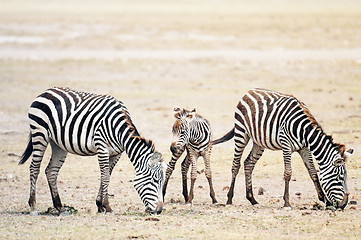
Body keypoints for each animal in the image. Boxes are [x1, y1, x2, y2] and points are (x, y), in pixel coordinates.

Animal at [19, 86, 165, 216]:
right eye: (155, 180)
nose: (159, 211)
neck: (119, 130)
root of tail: (46, 91)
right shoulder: (102, 147)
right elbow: (105, 176)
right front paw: (107, 207)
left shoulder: (117, 153)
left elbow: (107, 175)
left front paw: (100, 205)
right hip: (40, 133)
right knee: (34, 168)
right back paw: (33, 207)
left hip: (58, 144)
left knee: (51, 171)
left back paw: (60, 208)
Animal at [212, 89, 352, 209]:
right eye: (339, 178)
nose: (344, 205)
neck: (304, 132)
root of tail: (249, 92)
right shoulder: (286, 145)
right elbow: (288, 173)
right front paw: (287, 202)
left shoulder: (305, 149)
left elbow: (313, 172)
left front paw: (324, 199)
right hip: (241, 132)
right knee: (236, 164)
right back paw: (229, 199)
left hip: (259, 142)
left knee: (248, 163)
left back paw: (252, 199)